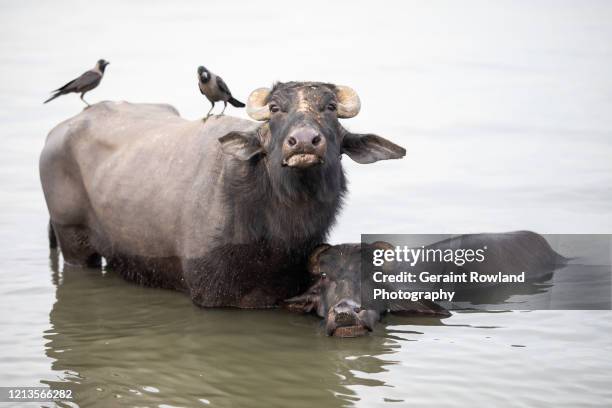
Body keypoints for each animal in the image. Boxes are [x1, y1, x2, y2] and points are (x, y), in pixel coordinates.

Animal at [41, 82, 406, 306]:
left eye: (329, 107)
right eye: (276, 109)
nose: (303, 142)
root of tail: (56, 134)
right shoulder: (212, 293)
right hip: (73, 241)